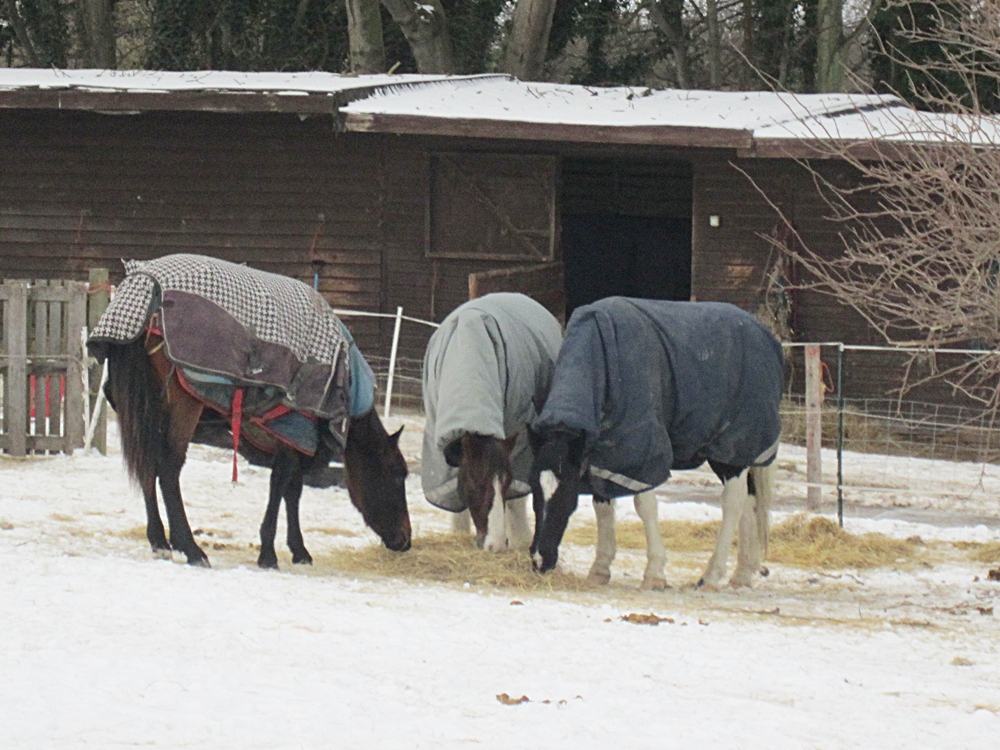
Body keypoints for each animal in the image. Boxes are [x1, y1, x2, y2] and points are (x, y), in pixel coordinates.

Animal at [89, 254, 411, 568]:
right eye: (397, 474)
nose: (405, 540)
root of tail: (146, 292)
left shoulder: (293, 438)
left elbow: (292, 490)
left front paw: (298, 550)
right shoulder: (292, 427)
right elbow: (281, 484)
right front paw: (269, 553)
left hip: (145, 409)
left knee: (148, 462)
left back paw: (159, 541)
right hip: (183, 404)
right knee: (168, 467)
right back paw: (190, 547)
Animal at [421, 293, 562, 552]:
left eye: (506, 482)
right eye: (475, 481)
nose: (495, 545)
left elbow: (516, 498)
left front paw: (519, 538)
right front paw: (459, 532)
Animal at [529, 297, 783, 590]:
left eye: (564, 492)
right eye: (534, 489)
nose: (539, 560)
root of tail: (762, 332)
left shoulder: (643, 453)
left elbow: (645, 506)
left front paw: (654, 574)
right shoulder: (604, 456)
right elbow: (602, 505)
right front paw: (599, 569)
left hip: (730, 450)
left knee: (734, 501)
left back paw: (712, 575)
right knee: (749, 501)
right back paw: (742, 573)